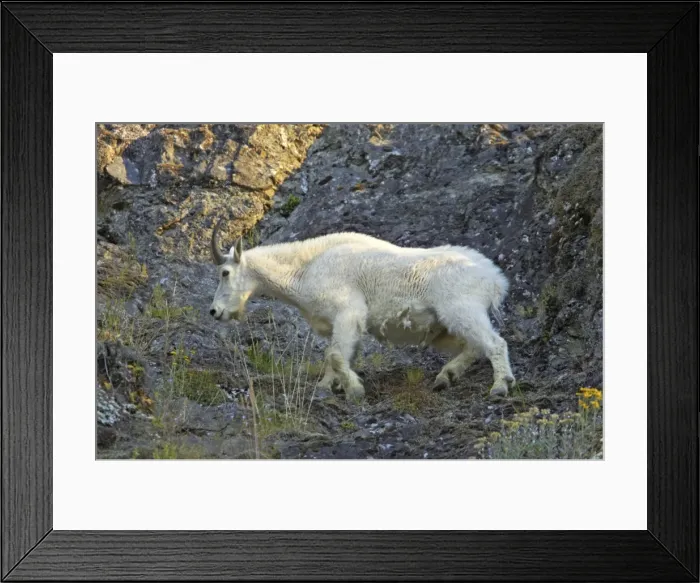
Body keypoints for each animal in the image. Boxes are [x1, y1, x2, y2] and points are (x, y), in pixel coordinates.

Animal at [209, 224, 515, 401]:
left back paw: (500, 386)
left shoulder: (349, 312)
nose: (214, 311)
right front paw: (327, 387)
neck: (305, 269)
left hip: (462, 309)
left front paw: (354, 390)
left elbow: (335, 355)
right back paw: (445, 377)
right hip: (445, 327)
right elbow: (334, 355)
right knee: (473, 347)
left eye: (225, 273)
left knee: (494, 343)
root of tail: (495, 278)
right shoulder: (339, 324)